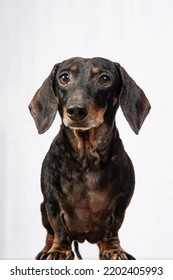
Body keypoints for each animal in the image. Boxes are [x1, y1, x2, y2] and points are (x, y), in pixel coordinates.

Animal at [29, 57, 151, 260]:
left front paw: (114, 249)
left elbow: (113, 229)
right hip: (42, 209)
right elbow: (59, 228)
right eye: (64, 77)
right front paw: (58, 250)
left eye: (104, 79)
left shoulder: (120, 205)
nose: (76, 111)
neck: (87, 159)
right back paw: (46, 249)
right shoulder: (51, 202)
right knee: (50, 233)